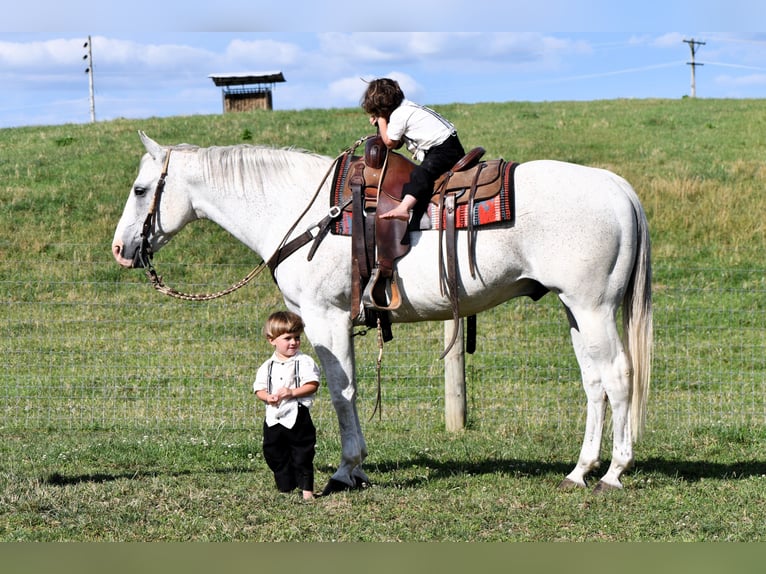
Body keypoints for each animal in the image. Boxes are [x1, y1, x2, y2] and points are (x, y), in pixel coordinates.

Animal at [112, 133, 656, 498]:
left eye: (139, 189)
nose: (120, 250)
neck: (301, 209)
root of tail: (617, 188)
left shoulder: (325, 317)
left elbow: (341, 391)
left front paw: (346, 470)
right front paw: (355, 468)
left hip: (593, 308)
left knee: (618, 377)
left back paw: (613, 473)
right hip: (575, 310)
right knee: (594, 382)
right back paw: (580, 470)